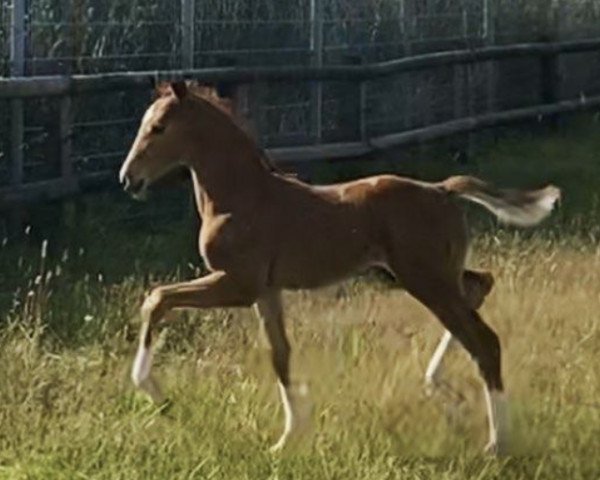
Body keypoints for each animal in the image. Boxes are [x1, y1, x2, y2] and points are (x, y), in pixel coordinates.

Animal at [119, 82, 560, 454]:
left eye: (158, 127)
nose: (128, 179)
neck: (240, 196)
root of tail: (442, 190)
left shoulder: (238, 285)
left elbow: (157, 299)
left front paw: (156, 394)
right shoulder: (267, 291)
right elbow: (280, 354)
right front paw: (289, 438)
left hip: (425, 278)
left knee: (484, 340)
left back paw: (496, 443)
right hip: (419, 275)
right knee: (479, 287)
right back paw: (442, 391)